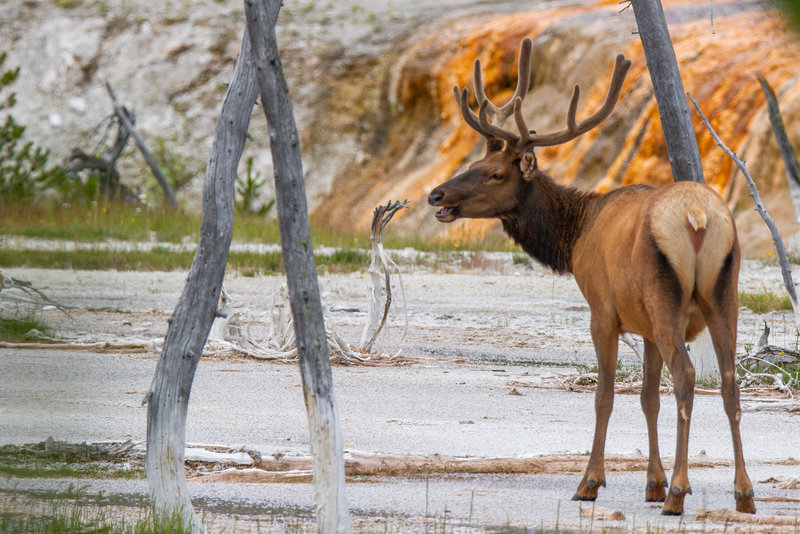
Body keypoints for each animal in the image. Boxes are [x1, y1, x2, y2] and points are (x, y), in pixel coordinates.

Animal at [428, 38, 752, 520]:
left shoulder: (603, 308)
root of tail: (697, 217)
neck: (576, 234)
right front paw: (651, 483)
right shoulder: (644, 324)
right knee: (730, 382)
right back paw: (743, 493)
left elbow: (605, 394)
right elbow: (647, 397)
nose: (436, 194)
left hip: (667, 298)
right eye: (473, 161)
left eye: (495, 173)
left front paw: (592, 482)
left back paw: (679, 492)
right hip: (722, 294)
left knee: (688, 375)